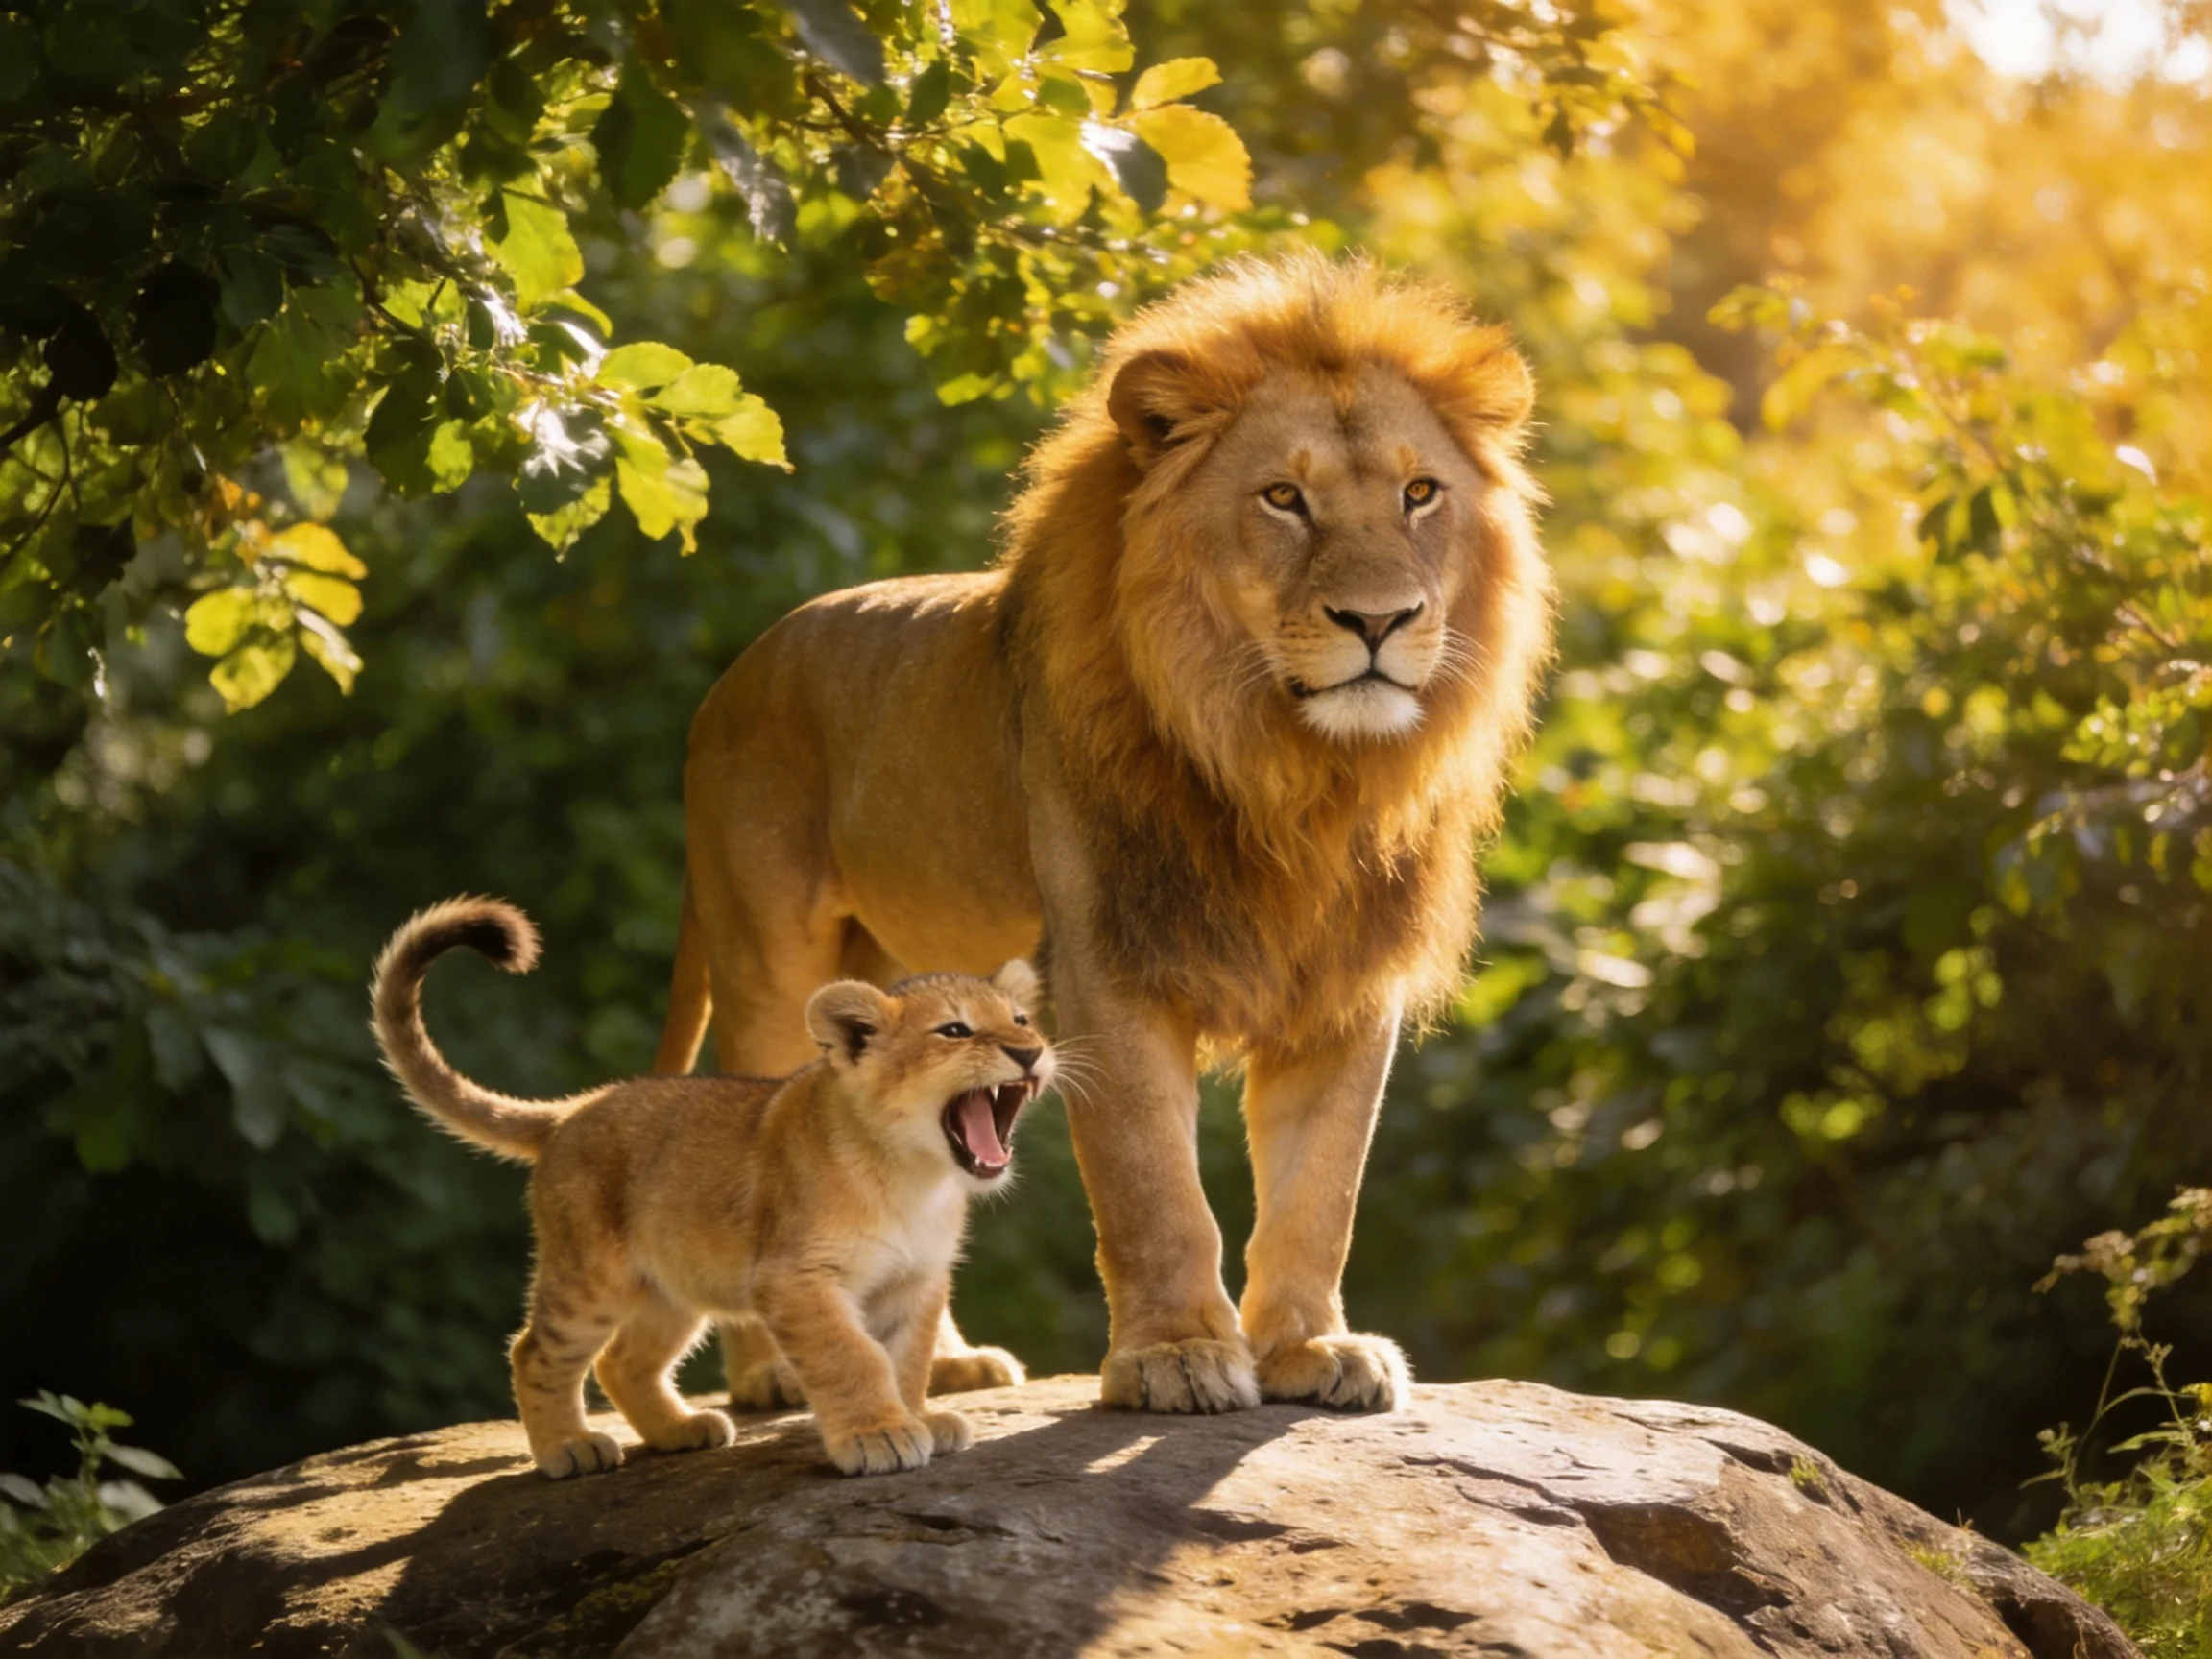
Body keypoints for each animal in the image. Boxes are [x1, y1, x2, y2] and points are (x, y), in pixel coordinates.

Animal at [373, 895, 1052, 1476]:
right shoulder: (794, 1277)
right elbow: (852, 1356)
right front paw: (877, 1436)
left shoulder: (914, 1280)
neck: (916, 1176)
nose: (1030, 1051)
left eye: (1020, 1019)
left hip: (673, 1288)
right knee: (534, 1351)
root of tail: (575, 1109)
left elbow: (907, 1359)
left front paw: (918, 1418)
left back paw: (681, 1431)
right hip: (592, 1277)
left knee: (623, 1362)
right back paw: (570, 1448)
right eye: (955, 1031)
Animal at [655, 254, 1553, 1414]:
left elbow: (1320, 1191)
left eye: (1419, 493)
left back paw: (940, 1365)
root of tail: (730, 677)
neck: (1293, 770)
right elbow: (1152, 1185)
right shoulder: (1105, 967)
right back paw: (780, 1374)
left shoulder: (1346, 979)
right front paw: (1176, 1356)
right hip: (768, 960)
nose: (1379, 621)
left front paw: (1311, 1348)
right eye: (1283, 497)